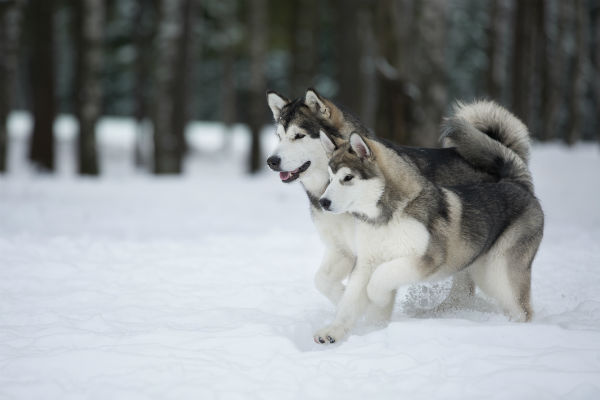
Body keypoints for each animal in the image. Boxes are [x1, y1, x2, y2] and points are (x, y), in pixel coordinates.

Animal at [316, 102, 548, 344]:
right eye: (330, 178)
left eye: (348, 178)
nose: (323, 202)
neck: (387, 217)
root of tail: (517, 183)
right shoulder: (366, 263)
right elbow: (349, 303)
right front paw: (334, 331)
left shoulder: (426, 258)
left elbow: (381, 278)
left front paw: (376, 298)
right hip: (478, 269)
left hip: (498, 272)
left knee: (522, 310)